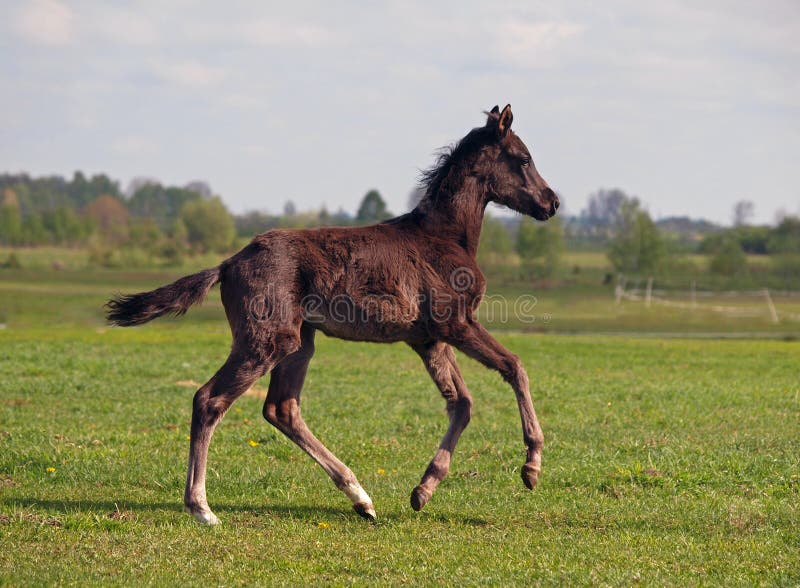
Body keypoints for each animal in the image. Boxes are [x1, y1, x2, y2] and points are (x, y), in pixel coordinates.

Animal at [106, 104, 559, 524]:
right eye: (523, 158)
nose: (552, 202)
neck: (443, 237)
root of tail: (229, 263)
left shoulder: (427, 339)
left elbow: (462, 403)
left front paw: (423, 489)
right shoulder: (457, 323)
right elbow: (514, 367)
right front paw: (532, 466)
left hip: (299, 343)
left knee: (281, 408)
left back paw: (361, 498)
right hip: (267, 341)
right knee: (209, 400)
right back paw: (202, 507)